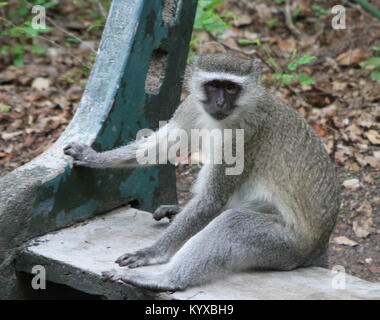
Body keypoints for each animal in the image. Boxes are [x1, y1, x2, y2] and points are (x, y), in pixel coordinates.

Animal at [63, 53, 340, 292]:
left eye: (231, 88)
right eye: (214, 85)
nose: (220, 102)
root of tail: (319, 246)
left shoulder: (242, 135)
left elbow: (211, 200)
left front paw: (152, 253)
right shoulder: (190, 106)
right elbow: (159, 146)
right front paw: (92, 157)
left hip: (286, 246)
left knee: (233, 223)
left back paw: (166, 280)